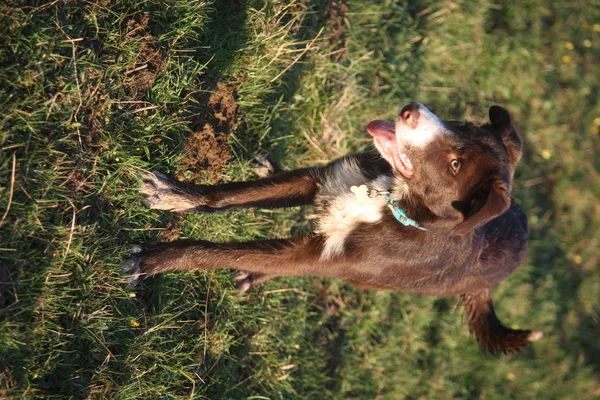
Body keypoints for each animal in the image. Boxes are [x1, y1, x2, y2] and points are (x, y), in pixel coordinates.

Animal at [126, 102, 544, 354]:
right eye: (465, 124)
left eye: (456, 165)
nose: (410, 110)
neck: (391, 200)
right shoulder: (318, 181)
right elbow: (227, 195)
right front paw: (175, 194)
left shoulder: (315, 256)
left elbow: (219, 252)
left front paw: (154, 259)